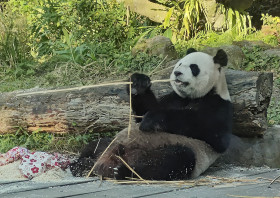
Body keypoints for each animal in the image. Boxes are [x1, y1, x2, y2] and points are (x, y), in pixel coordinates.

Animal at [70, 48, 234, 180]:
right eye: (179, 64)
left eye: (194, 68)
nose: (177, 73)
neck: (192, 97)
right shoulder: (173, 98)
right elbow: (143, 112)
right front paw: (138, 83)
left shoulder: (219, 106)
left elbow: (211, 131)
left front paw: (152, 119)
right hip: (112, 144)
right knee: (96, 144)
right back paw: (82, 165)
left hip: (172, 152)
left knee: (172, 160)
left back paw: (123, 171)